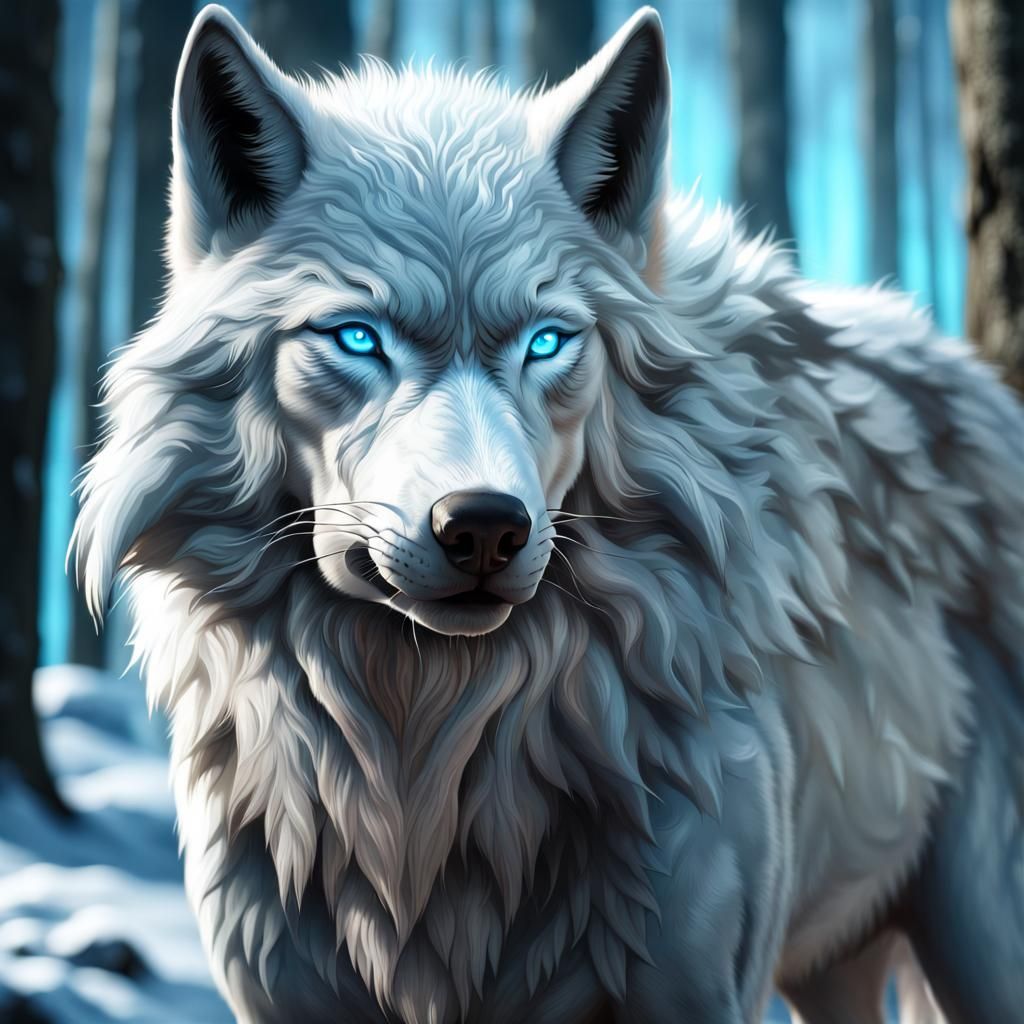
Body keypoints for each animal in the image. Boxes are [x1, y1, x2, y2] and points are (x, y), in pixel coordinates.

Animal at [72, 5, 1024, 1022]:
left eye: (546, 341)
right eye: (358, 338)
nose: (484, 525)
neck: (423, 752)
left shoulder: (691, 988)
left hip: (978, 942)